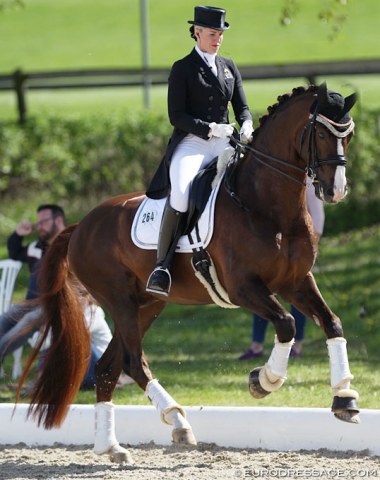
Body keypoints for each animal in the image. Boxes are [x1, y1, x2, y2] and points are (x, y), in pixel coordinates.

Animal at [20, 84, 360, 464]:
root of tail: (80, 226)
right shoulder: (244, 288)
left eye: (348, 135)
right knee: (133, 362)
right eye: (321, 133)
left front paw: (344, 398)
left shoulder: (296, 282)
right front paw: (264, 380)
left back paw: (112, 447)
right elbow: (286, 324)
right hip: (119, 300)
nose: (335, 191)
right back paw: (177, 422)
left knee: (109, 369)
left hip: (147, 305)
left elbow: (332, 323)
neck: (266, 206)